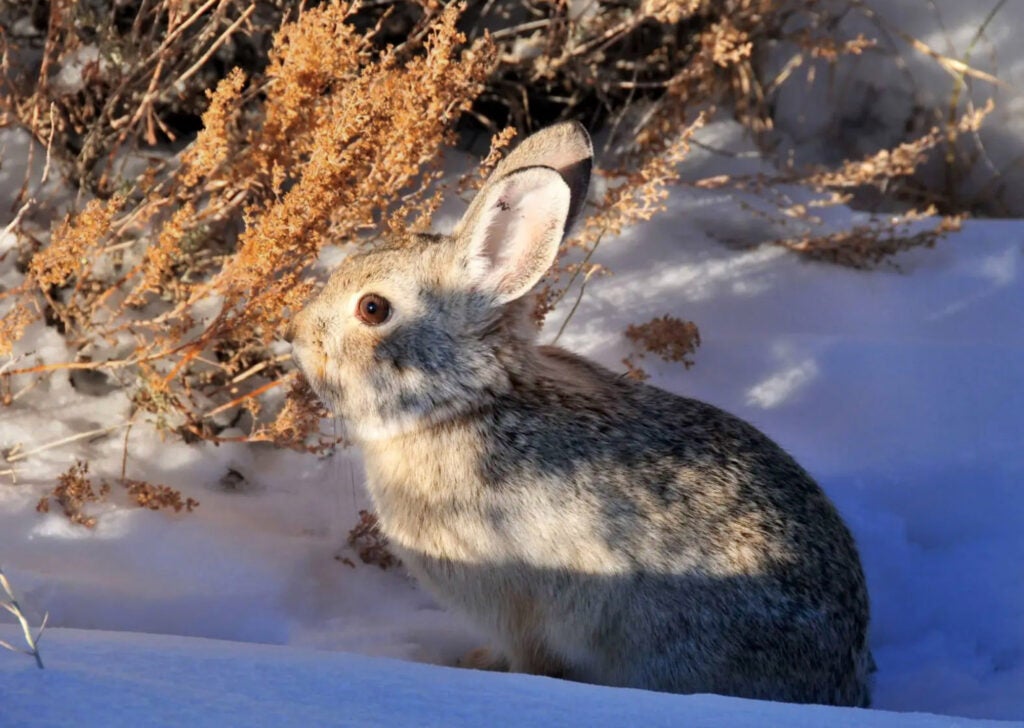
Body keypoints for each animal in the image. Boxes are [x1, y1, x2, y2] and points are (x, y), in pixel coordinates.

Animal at [288, 122, 872, 708]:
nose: (295, 336)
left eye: (373, 309)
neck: (465, 404)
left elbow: (530, 659)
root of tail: (838, 686)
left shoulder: (522, 610)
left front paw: (477, 667)